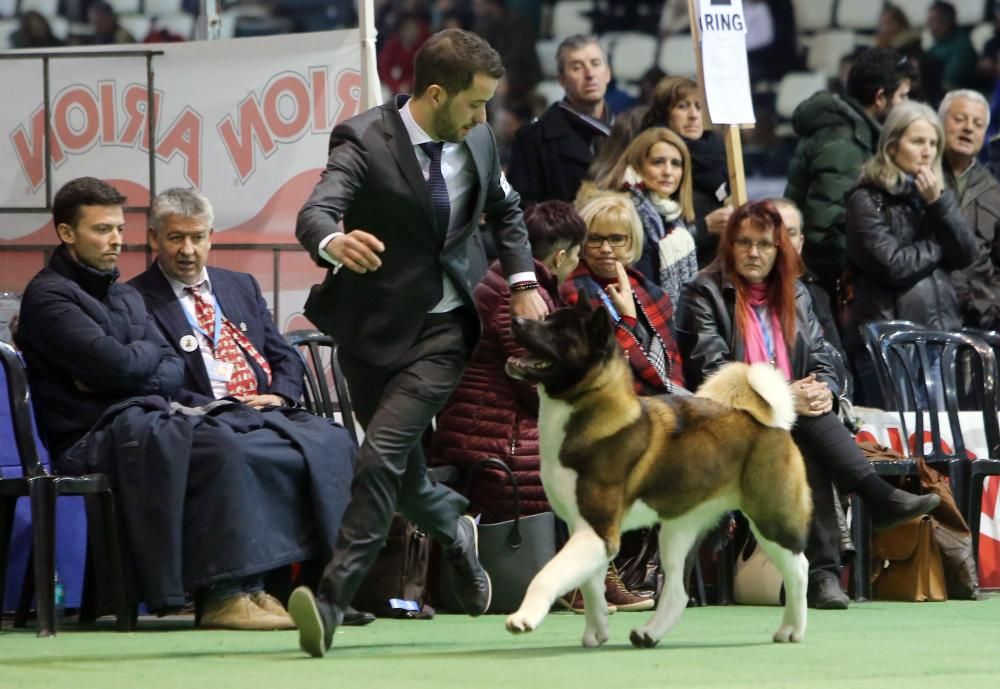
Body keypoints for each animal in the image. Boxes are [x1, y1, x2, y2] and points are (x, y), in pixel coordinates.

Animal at [504, 300, 816, 644]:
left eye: (558, 331)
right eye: (546, 318)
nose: (516, 320)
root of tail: (772, 423)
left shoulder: (598, 531)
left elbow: (548, 575)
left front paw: (523, 618)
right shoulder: (584, 531)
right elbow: (591, 587)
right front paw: (596, 632)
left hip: (770, 516)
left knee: (799, 569)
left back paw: (792, 629)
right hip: (677, 531)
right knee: (678, 592)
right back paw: (649, 634)